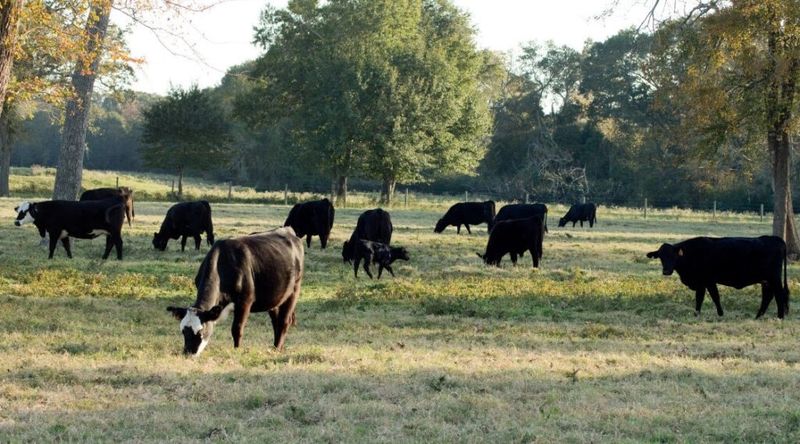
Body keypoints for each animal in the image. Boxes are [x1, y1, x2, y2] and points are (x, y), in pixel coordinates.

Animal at [166, 227, 304, 356]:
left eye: (200, 332)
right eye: (183, 331)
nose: (188, 353)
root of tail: (288, 231)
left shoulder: (245, 301)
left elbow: (237, 329)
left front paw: (237, 350)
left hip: (294, 290)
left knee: (284, 321)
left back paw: (277, 348)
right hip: (274, 298)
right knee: (276, 322)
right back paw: (275, 347)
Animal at [646, 236, 790, 319]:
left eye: (673, 256)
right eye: (661, 257)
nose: (666, 271)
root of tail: (775, 238)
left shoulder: (707, 281)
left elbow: (711, 297)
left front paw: (717, 314)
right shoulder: (703, 283)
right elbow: (703, 298)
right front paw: (699, 314)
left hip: (774, 278)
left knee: (779, 294)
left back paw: (780, 316)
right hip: (766, 280)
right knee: (768, 296)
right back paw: (758, 316)